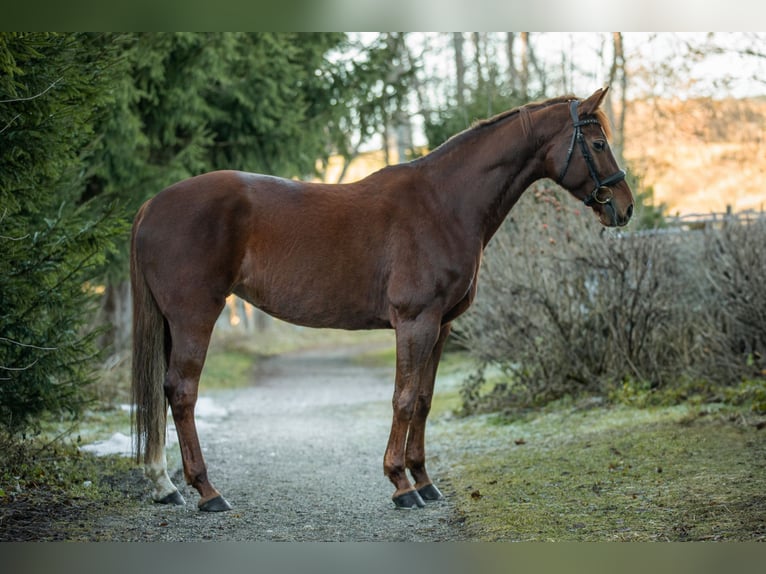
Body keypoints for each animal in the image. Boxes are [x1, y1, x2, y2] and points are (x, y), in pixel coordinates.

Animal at [130, 87, 633, 512]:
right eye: (598, 143)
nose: (624, 207)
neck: (444, 203)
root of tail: (152, 204)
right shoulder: (415, 321)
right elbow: (404, 399)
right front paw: (401, 484)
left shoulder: (441, 325)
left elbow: (425, 400)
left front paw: (425, 481)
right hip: (196, 317)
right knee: (182, 392)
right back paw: (207, 491)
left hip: (174, 324)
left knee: (164, 393)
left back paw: (165, 485)